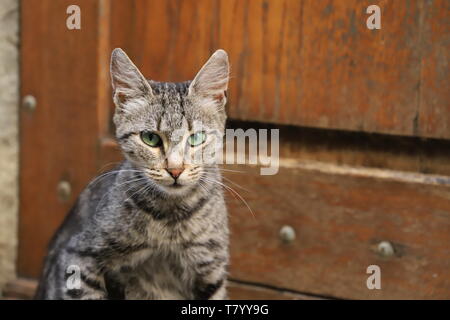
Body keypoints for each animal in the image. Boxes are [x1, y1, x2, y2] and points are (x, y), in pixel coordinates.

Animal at [35, 48, 230, 300]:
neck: (171, 219)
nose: (175, 169)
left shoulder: (210, 268)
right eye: (150, 138)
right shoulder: (78, 258)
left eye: (197, 138)